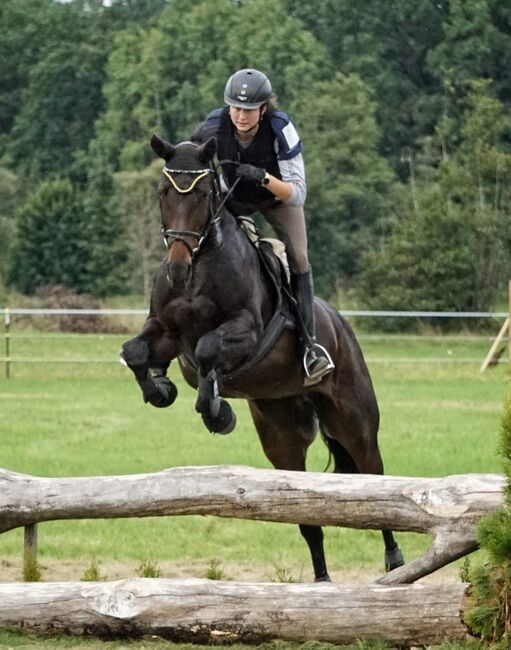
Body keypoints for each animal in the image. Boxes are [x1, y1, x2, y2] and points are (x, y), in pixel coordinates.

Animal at [122, 134, 406, 580]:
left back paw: (395, 561)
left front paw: (217, 411)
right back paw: (321, 582)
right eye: (163, 192)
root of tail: (341, 325)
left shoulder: (247, 332)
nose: (178, 269)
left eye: (202, 193)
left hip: (354, 421)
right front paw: (160, 389)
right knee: (306, 515)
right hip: (282, 435)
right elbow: (136, 351)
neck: (199, 268)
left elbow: (207, 349)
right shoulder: (166, 333)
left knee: (374, 477)